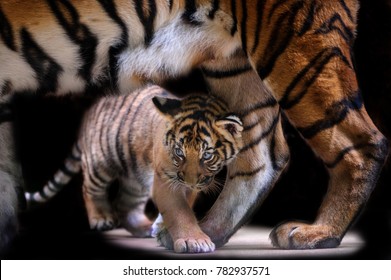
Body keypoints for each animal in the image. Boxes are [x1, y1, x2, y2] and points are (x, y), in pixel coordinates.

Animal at [0, 0, 388, 254]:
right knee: (262, 153)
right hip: (233, 63)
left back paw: (319, 232)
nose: (190, 177)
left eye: (205, 156)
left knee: (363, 141)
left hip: (296, 46)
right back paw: (209, 231)